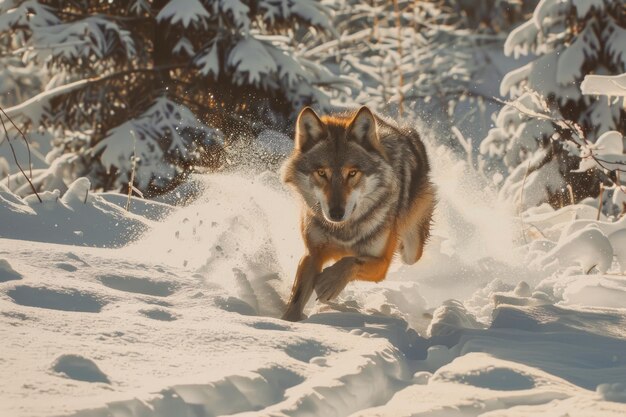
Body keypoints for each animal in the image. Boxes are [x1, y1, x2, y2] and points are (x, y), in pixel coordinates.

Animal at [280, 105, 432, 320]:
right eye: (321, 173)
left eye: (352, 173)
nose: (336, 213)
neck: (344, 230)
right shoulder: (312, 254)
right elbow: (296, 299)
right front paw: (288, 323)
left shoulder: (382, 263)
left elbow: (351, 261)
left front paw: (328, 283)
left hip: (411, 250)